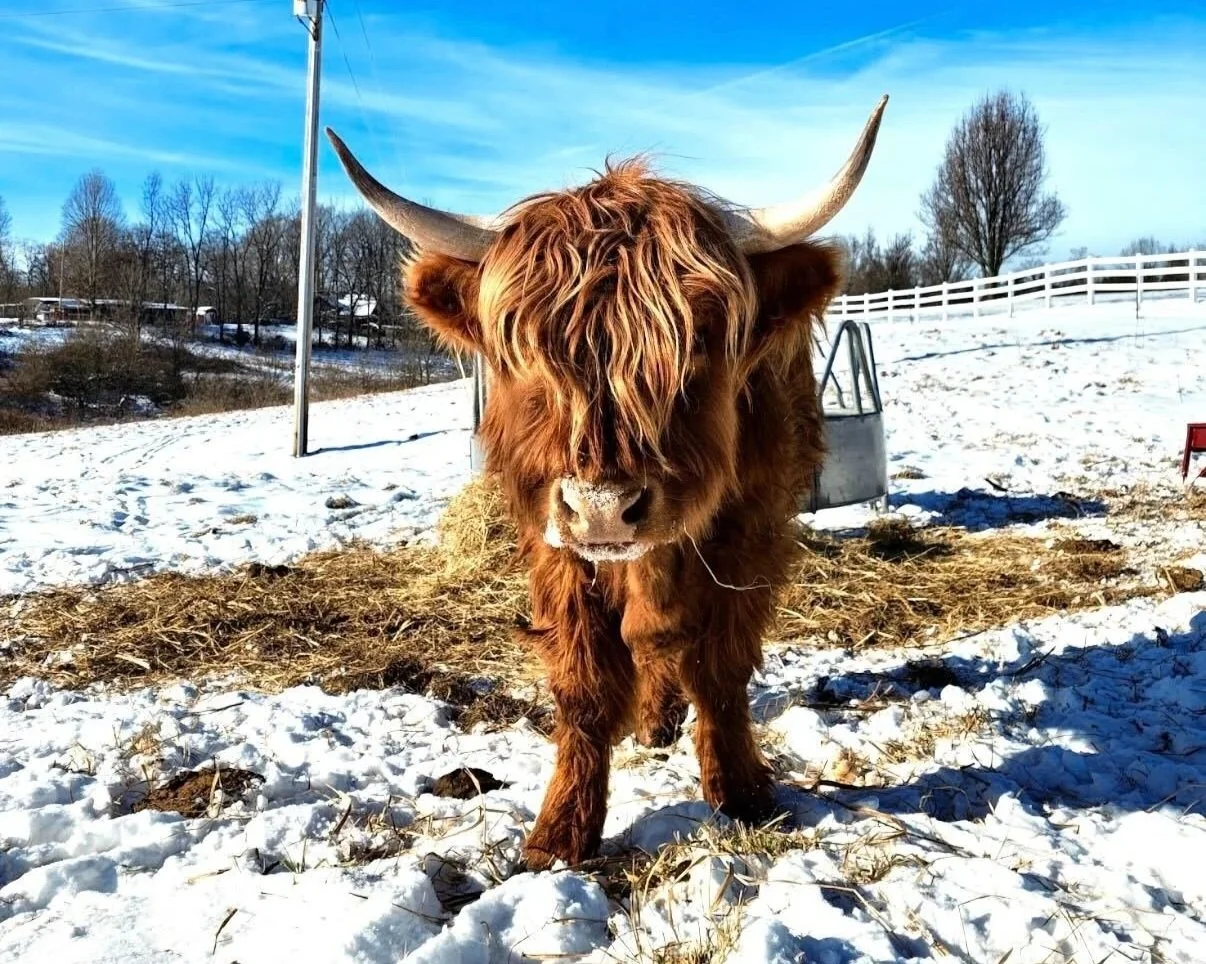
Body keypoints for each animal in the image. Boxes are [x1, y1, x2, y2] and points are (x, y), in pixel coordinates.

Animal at [326, 97, 888, 870]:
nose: (603, 510)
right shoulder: (555, 541)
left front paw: (740, 790)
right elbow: (586, 681)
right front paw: (561, 832)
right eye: (526, 348)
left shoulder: (749, 530)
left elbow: (719, 664)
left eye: (701, 339)